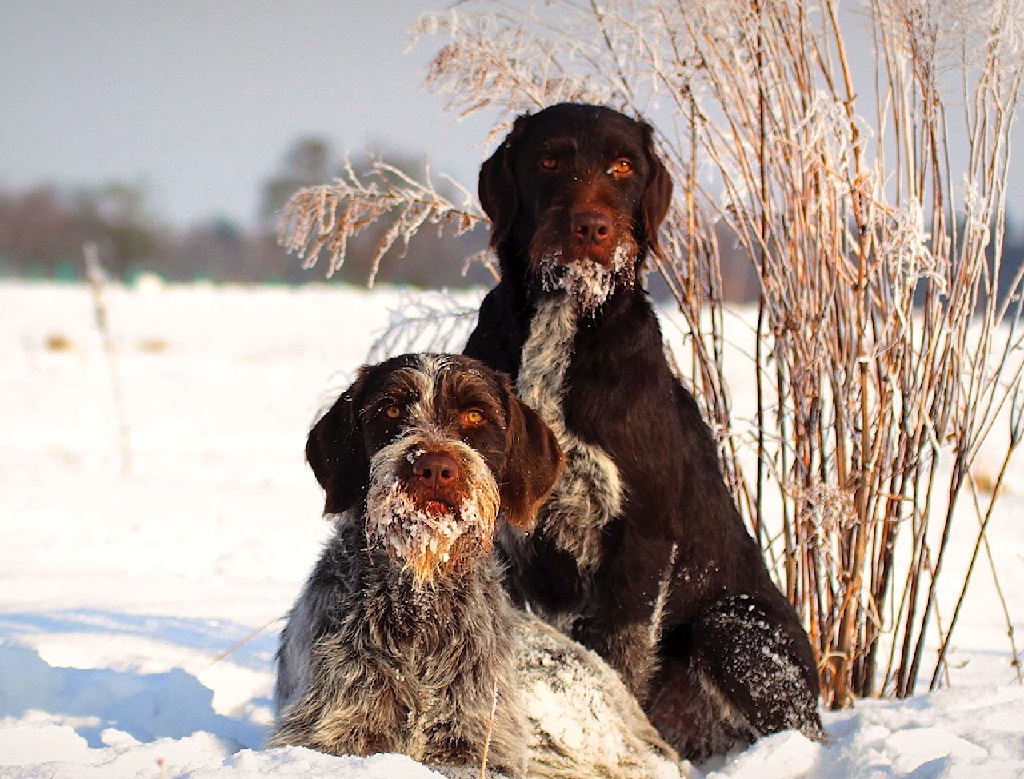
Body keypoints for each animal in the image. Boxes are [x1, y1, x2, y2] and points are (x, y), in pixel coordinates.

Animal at [270, 354, 688, 777]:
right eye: (390, 410)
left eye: (475, 415)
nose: (434, 467)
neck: (420, 607)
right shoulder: (330, 733)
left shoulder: (479, 745)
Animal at [464, 104, 823, 761]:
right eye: (548, 159)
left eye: (623, 165)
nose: (591, 227)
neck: (563, 319)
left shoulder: (642, 536)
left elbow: (620, 656)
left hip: (734, 626)